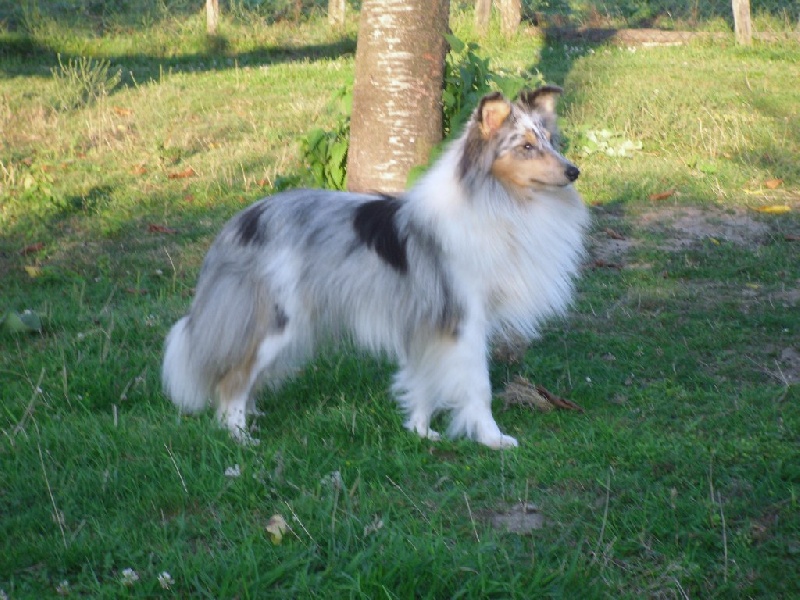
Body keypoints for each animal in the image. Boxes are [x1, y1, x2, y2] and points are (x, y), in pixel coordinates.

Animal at [162, 85, 589, 449]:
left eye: (550, 141)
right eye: (526, 146)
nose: (573, 172)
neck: (498, 199)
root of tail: (239, 223)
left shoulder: (427, 323)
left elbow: (423, 381)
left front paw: (421, 431)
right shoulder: (464, 320)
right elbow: (477, 387)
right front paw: (491, 439)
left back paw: (252, 416)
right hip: (276, 323)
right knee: (233, 380)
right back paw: (240, 436)